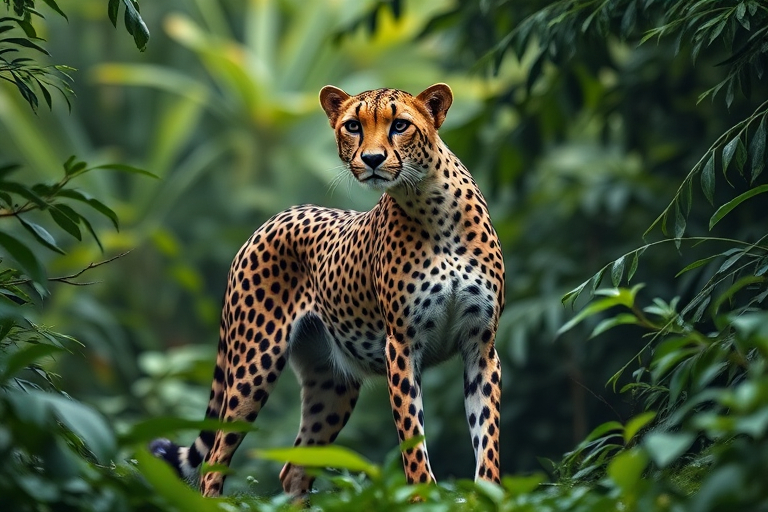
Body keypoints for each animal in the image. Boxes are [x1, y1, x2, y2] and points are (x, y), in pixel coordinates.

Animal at [150, 83, 505, 498]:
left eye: (400, 125)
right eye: (353, 125)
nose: (371, 158)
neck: (432, 205)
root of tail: (273, 218)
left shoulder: (481, 344)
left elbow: (487, 436)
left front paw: (490, 494)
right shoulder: (401, 346)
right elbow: (413, 439)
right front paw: (422, 497)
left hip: (331, 384)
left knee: (294, 469)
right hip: (253, 364)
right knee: (214, 460)